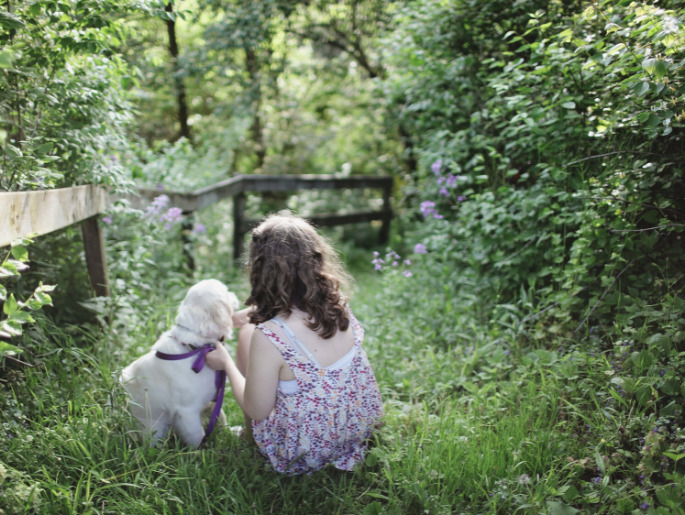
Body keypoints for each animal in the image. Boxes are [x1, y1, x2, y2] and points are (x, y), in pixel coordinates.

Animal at [121, 278, 239, 448]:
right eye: (226, 291)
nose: (235, 294)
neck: (196, 349)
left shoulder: (212, 399)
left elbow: (220, 416)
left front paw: (231, 433)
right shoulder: (187, 411)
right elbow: (197, 436)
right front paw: (203, 451)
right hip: (155, 429)